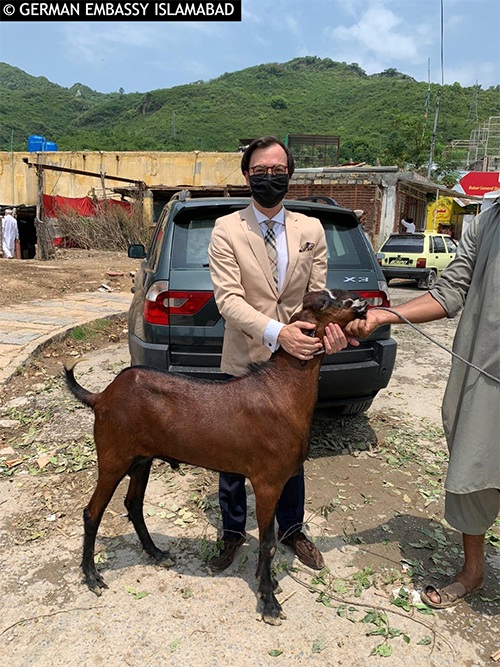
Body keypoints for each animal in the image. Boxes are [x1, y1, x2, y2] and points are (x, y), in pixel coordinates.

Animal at [64, 290, 366, 624]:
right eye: (323, 303)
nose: (361, 303)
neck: (281, 390)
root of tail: (102, 396)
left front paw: (268, 583)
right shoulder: (267, 482)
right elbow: (268, 543)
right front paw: (269, 602)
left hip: (141, 459)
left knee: (133, 504)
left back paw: (157, 554)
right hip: (113, 456)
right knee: (92, 512)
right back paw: (92, 577)